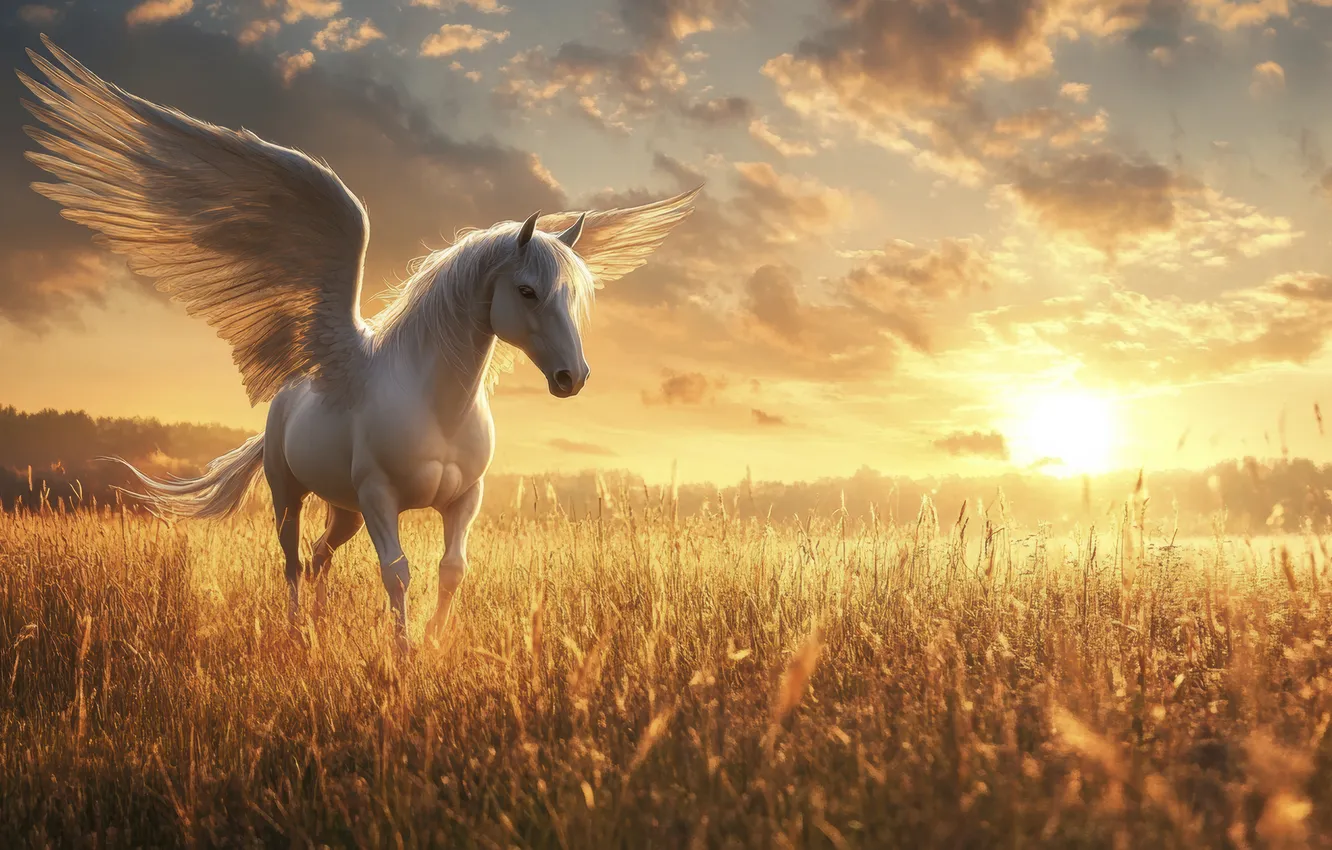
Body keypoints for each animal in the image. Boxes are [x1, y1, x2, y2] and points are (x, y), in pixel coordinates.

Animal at [17, 35, 696, 644]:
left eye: (573, 297)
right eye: (527, 291)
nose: (571, 378)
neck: (437, 405)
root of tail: (291, 391)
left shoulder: (464, 500)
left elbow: (452, 570)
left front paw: (433, 647)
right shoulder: (379, 498)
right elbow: (396, 574)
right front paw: (400, 657)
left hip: (340, 507)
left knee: (322, 554)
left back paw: (317, 627)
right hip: (292, 495)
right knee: (293, 559)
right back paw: (299, 635)